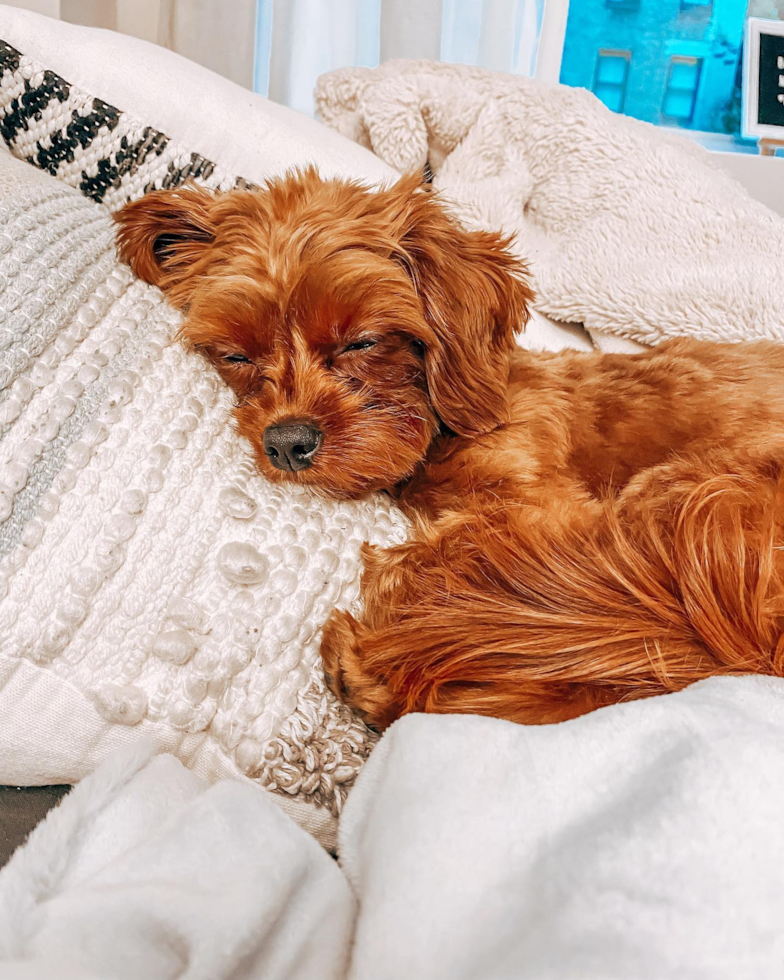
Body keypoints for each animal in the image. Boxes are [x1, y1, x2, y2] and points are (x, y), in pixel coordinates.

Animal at [116, 170, 784, 728]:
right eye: (236, 355)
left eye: (361, 341)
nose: (286, 442)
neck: (443, 436)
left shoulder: (552, 516)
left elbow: (453, 559)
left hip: (689, 492)